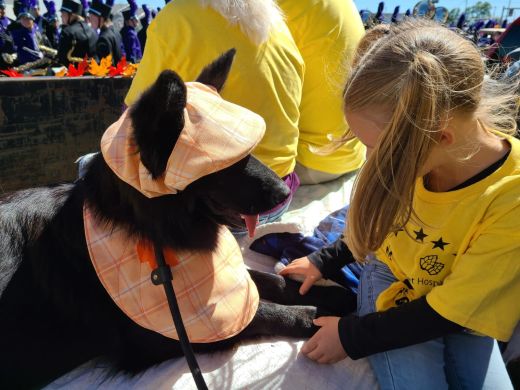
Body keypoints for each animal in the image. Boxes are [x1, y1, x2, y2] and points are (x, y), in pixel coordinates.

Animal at [0, 50, 354, 388]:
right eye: (228, 163)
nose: (284, 192)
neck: (143, 224)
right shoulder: (163, 333)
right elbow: (260, 314)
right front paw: (319, 319)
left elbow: (268, 280)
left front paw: (327, 294)